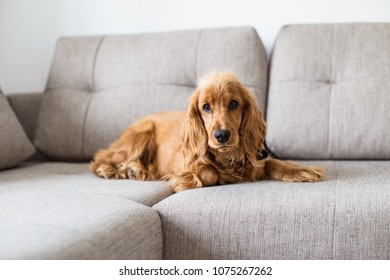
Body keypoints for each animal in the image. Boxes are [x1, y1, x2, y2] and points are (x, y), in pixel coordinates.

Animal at [90, 71, 324, 191]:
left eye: (234, 104)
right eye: (206, 107)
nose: (222, 136)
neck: (229, 156)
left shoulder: (257, 160)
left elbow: (273, 163)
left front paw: (302, 170)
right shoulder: (187, 163)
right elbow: (208, 172)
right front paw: (186, 180)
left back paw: (135, 170)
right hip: (141, 134)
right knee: (99, 157)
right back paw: (113, 170)